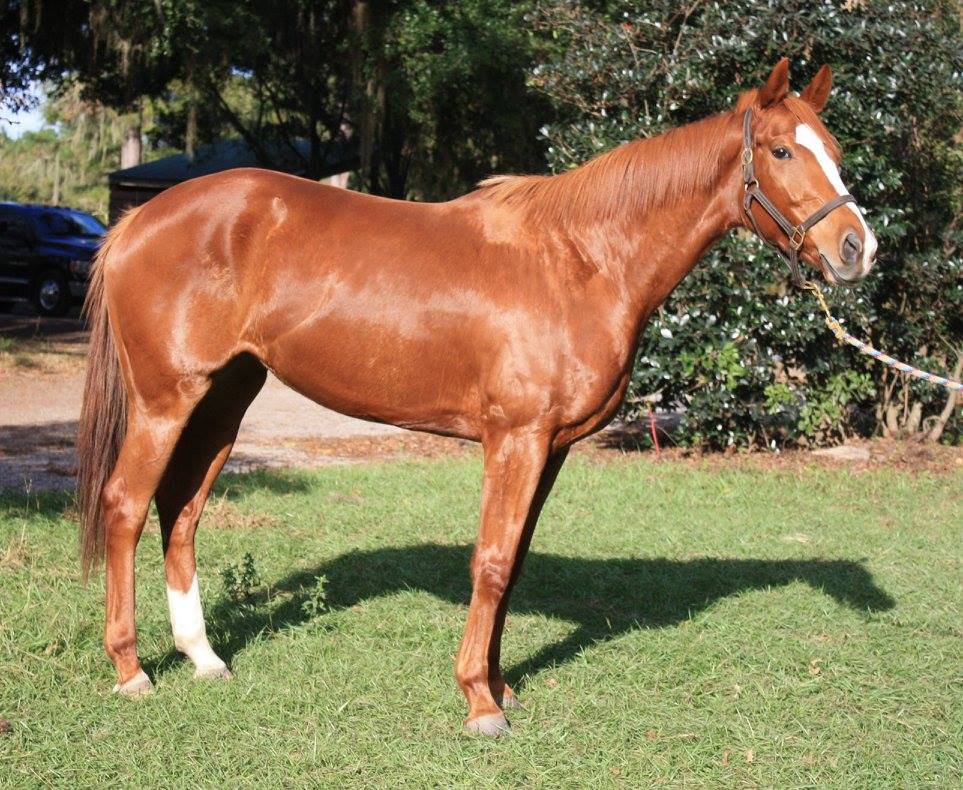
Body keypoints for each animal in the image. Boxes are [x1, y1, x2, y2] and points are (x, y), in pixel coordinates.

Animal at [76, 58, 877, 736]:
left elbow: (513, 563)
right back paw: (131, 669)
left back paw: (204, 658)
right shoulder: (515, 438)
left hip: (225, 398)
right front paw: (479, 703)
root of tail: (138, 221)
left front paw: (501, 684)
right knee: (126, 505)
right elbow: (491, 562)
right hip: (166, 401)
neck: (581, 260)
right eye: (780, 152)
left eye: (835, 147)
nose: (857, 248)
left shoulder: (551, 447)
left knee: (181, 509)